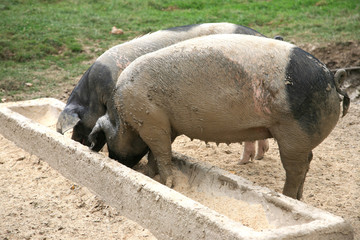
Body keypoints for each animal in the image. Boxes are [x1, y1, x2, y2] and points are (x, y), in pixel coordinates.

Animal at [88, 33, 348, 199]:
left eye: (107, 140)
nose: (116, 160)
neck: (123, 117)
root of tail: (332, 78)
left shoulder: (152, 122)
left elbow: (161, 153)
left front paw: (169, 184)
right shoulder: (165, 126)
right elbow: (157, 154)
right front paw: (153, 177)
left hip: (293, 134)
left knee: (296, 169)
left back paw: (288, 197)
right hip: (301, 139)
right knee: (308, 162)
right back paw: (298, 198)